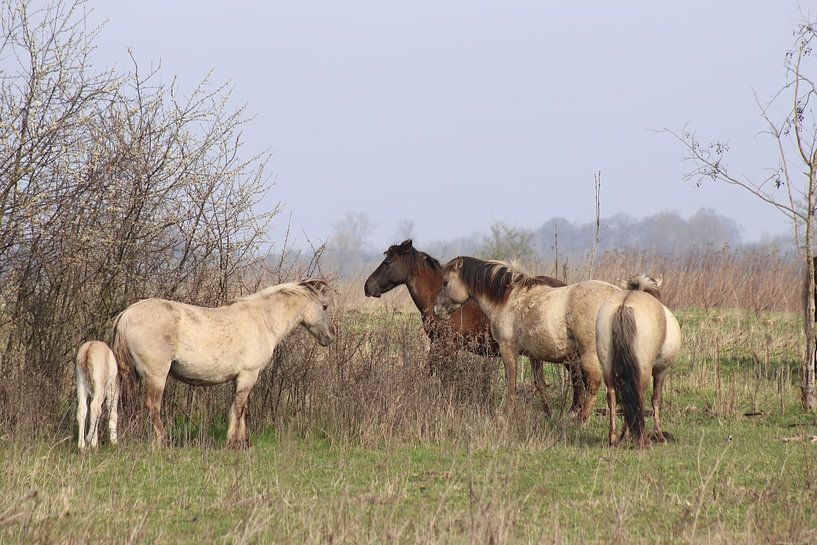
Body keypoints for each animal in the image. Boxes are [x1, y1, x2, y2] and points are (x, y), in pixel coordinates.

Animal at [113, 280, 335, 448]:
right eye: (324, 307)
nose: (331, 337)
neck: (262, 321)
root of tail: (126, 315)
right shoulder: (248, 375)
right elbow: (238, 409)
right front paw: (233, 443)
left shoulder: (242, 378)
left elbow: (243, 410)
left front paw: (245, 443)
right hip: (156, 375)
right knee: (152, 406)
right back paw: (163, 440)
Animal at [433, 256, 633, 420]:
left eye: (445, 282)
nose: (436, 310)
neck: (506, 299)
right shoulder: (534, 354)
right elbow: (540, 383)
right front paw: (548, 413)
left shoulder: (508, 349)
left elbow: (511, 382)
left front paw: (508, 413)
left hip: (588, 354)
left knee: (593, 382)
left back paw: (581, 420)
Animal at [596, 275, 681, 447]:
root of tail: (624, 305)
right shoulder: (661, 370)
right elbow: (656, 400)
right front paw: (659, 436)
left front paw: (625, 435)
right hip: (644, 369)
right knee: (639, 395)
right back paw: (643, 439)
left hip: (607, 366)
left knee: (613, 396)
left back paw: (614, 439)